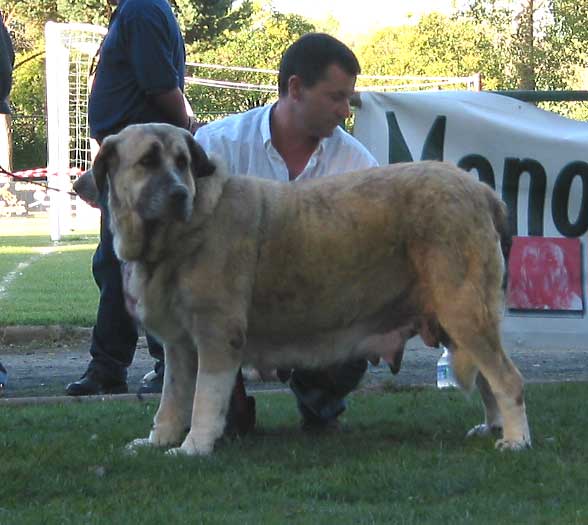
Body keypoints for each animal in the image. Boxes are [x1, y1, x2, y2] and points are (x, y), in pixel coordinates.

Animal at [76, 123, 532, 454]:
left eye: (183, 162)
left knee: (507, 380)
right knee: (489, 380)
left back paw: (516, 441)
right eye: (147, 161)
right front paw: (157, 441)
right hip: (458, 321)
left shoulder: (217, 336)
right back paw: (492, 428)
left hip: (465, 311)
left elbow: (205, 398)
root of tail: (482, 191)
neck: (176, 236)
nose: (178, 194)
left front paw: (193, 448)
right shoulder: (180, 346)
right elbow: (171, 400)